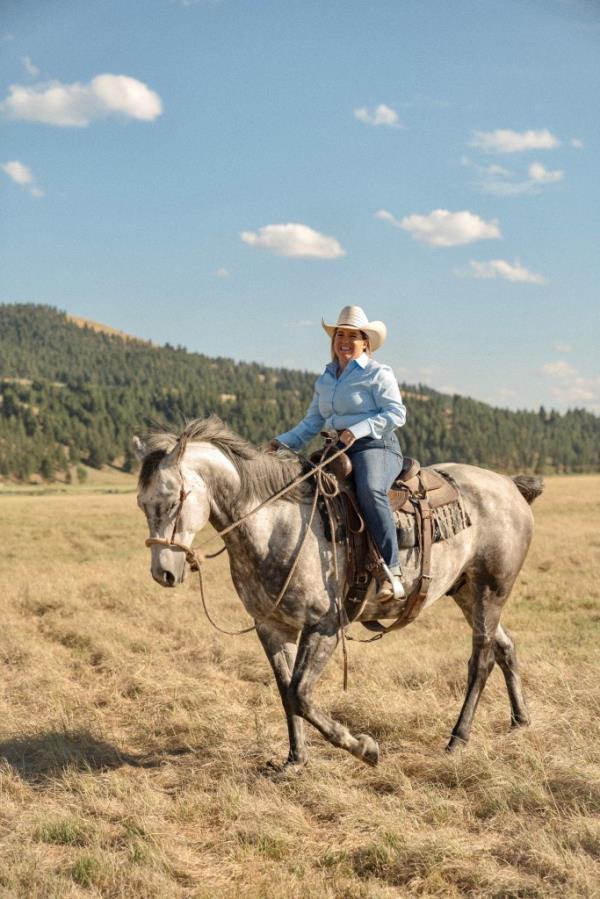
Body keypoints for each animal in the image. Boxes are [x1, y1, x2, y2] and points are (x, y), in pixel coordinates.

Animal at [136, 418, 544, 768]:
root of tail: (509, 485)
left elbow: (300, 694)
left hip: (491, 589)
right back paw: (520, 720)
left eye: (174, 499)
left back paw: (458, 738)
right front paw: (295, 759)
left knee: (481, 660)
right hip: (467, 591)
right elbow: (286, 692)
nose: (163, 573)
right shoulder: (272, 627)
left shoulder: (324, 627)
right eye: (142, 503)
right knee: (505, 647)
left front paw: (363, 748)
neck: (276, 524)